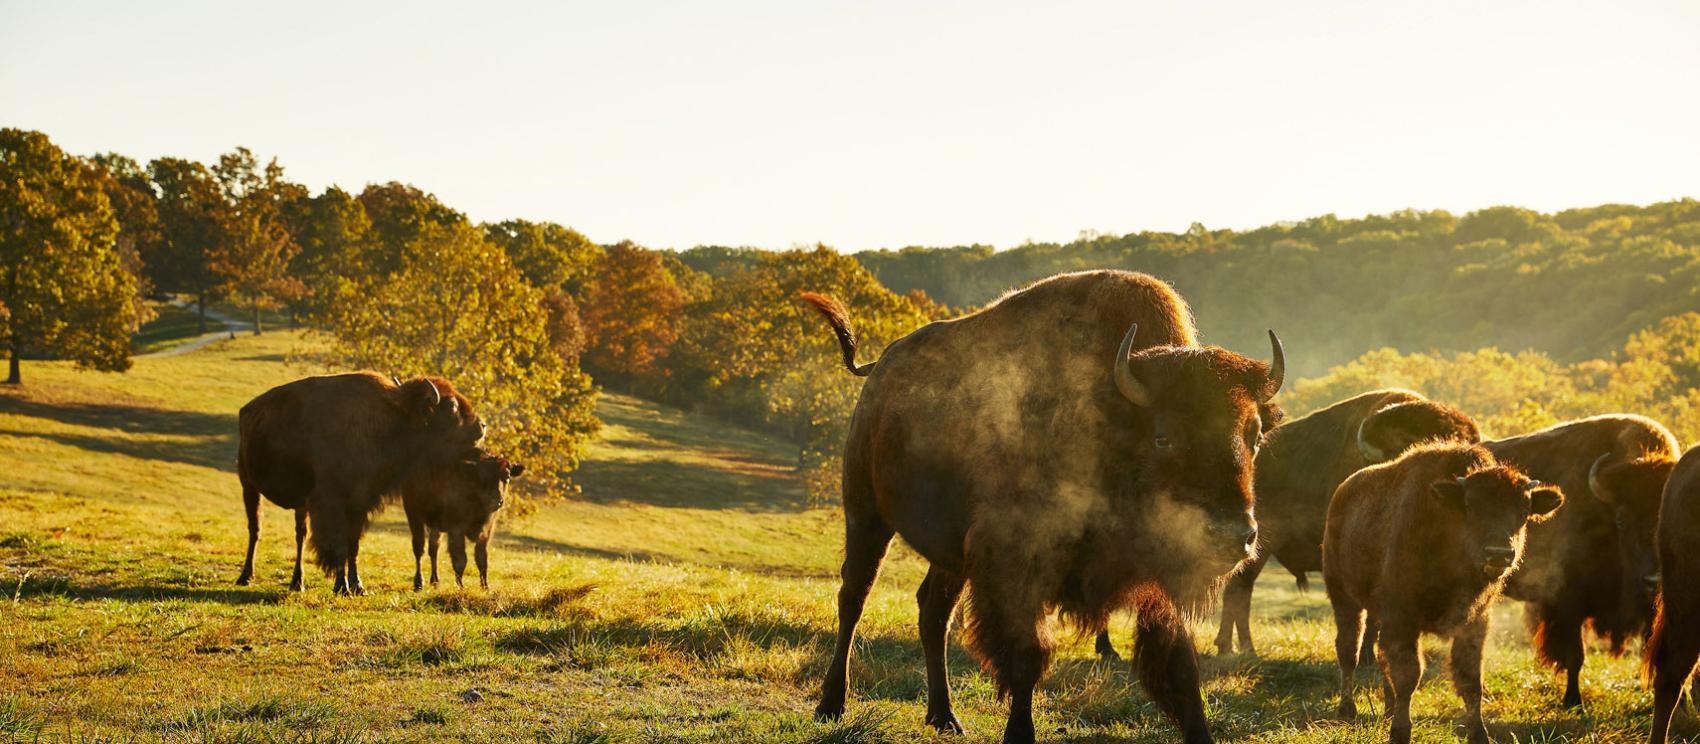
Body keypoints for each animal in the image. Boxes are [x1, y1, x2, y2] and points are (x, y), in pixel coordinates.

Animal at [235, 372, 483, 594]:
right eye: (452, 406)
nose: (482, 426)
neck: (394, 418)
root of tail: (247, 410)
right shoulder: (333, 506)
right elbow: (339, 547)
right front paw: (341, 586)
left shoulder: (359, 505)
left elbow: (352, 546)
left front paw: (357, 586)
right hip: (248, 486)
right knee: (254, 530)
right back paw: (245, 577)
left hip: (299, 504)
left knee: (299, 535)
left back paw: (298, 583)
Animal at [405, 449, 523, 590]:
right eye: (481, 476)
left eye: (508, 476)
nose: (496, 501)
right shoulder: (456, 530)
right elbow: (461, 559)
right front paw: (461, 587)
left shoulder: (487, 531)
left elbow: (482, 559)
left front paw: (485, 587)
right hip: (413, 515)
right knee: (419, 549)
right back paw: (418, 583)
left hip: (435, 527)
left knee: (433, 549)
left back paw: (435, 581)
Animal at [804, 270, 1284, 744]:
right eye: (1163, 436)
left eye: (1256, 435)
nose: (1234, 537)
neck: (1111, 417)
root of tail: (879, 369)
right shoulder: (1015, 564)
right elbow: (1027, 657)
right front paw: (1019, 733)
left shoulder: (1159, 583)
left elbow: (1180, 667)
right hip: (866, 515)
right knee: (854, 597)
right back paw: (831, 705)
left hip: (949, 554)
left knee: (933, 612)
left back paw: (944, 716)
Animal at [1324, 442, 1563, 744]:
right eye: (1471, 506)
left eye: (1524, 511)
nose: (1499, 554)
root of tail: (1342, 492)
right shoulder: (1403, 617)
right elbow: (1409, 675)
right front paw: (1400, 732)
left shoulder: (1474, 622)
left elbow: (1471, 680)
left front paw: (1479, 734)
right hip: (1343, 597)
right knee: (1349, 650)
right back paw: (1347, 711)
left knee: (1378, 655)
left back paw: (1388, 710)